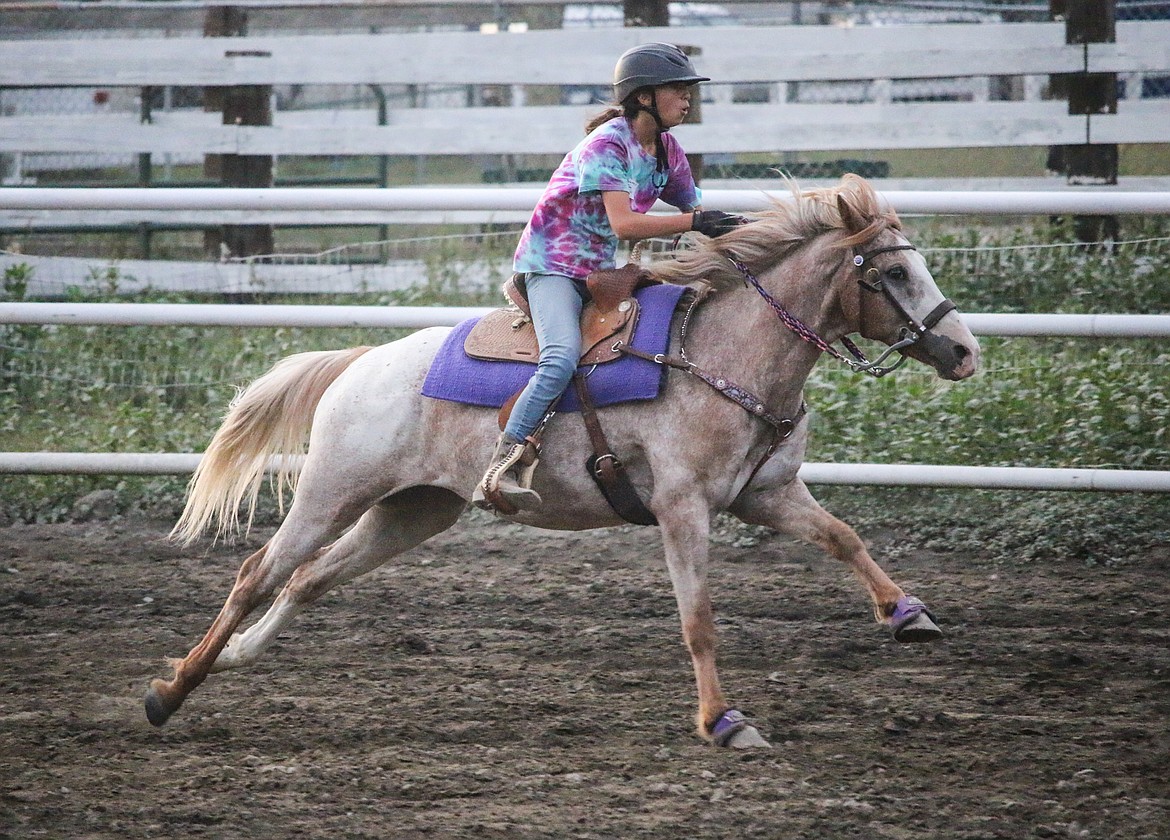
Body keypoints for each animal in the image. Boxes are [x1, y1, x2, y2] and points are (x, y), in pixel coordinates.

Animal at [143, 173, 978, 748]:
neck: (718, 352)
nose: (964, 350)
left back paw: (235, 659)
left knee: (309, 580)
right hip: (331, 492)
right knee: (258, 573)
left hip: (412, 511)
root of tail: (360, 363)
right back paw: (170, 691)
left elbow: (844, 537)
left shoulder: (764, 492)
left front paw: (909, 614)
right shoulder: (682, 508)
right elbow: (699, 621)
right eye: (893, 273)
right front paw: (723, 720)